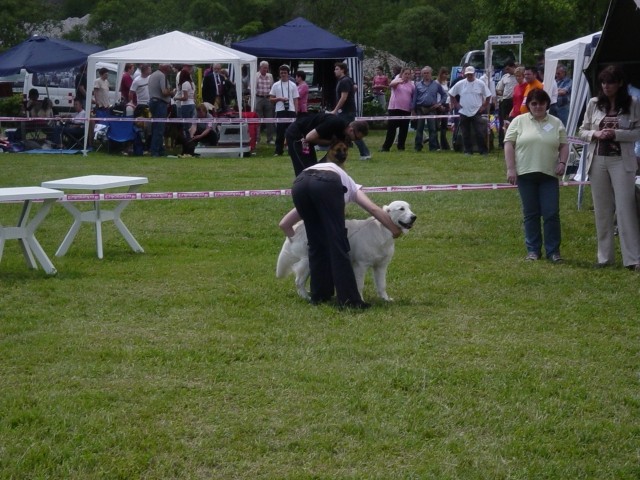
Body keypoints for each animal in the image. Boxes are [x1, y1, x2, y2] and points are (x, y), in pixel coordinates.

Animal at [276, 201, 418, 302]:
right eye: (401, 209)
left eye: (409, 208)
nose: (414, 217)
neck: (382, 229)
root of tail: (297, 226)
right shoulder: (361, 265)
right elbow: (359, 285)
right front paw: (361, 300)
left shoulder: (381, 266)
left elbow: (382, 285)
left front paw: (386, 299)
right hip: (307, 262)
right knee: (299, 282)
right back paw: (307, 298)